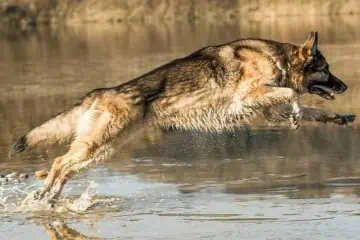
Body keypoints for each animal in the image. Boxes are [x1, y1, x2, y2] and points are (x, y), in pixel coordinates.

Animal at [8, 31, 354, 202]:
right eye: (326, 69)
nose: (345, 86)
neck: (277, 57)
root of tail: (102, 91)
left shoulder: (267, 108)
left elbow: (313, 110)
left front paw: (337, 117)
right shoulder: (251, 96)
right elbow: (294, 97)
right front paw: (296, 115)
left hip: (101, 150)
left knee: (66, 168)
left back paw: (51, 198)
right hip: (99, 145)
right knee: (58, 162)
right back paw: (43, 193)